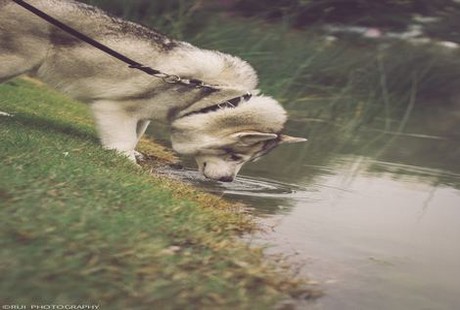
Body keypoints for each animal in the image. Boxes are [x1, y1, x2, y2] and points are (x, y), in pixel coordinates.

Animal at [2, 0, 310, 182]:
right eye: (235, 157)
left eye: (248, 161)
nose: (228, 182)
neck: (207, 97)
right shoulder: (114, 108)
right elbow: (124, 139)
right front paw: (126, 159)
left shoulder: (143, 114)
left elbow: (138, 134)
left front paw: (135, 153)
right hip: (16, 61)